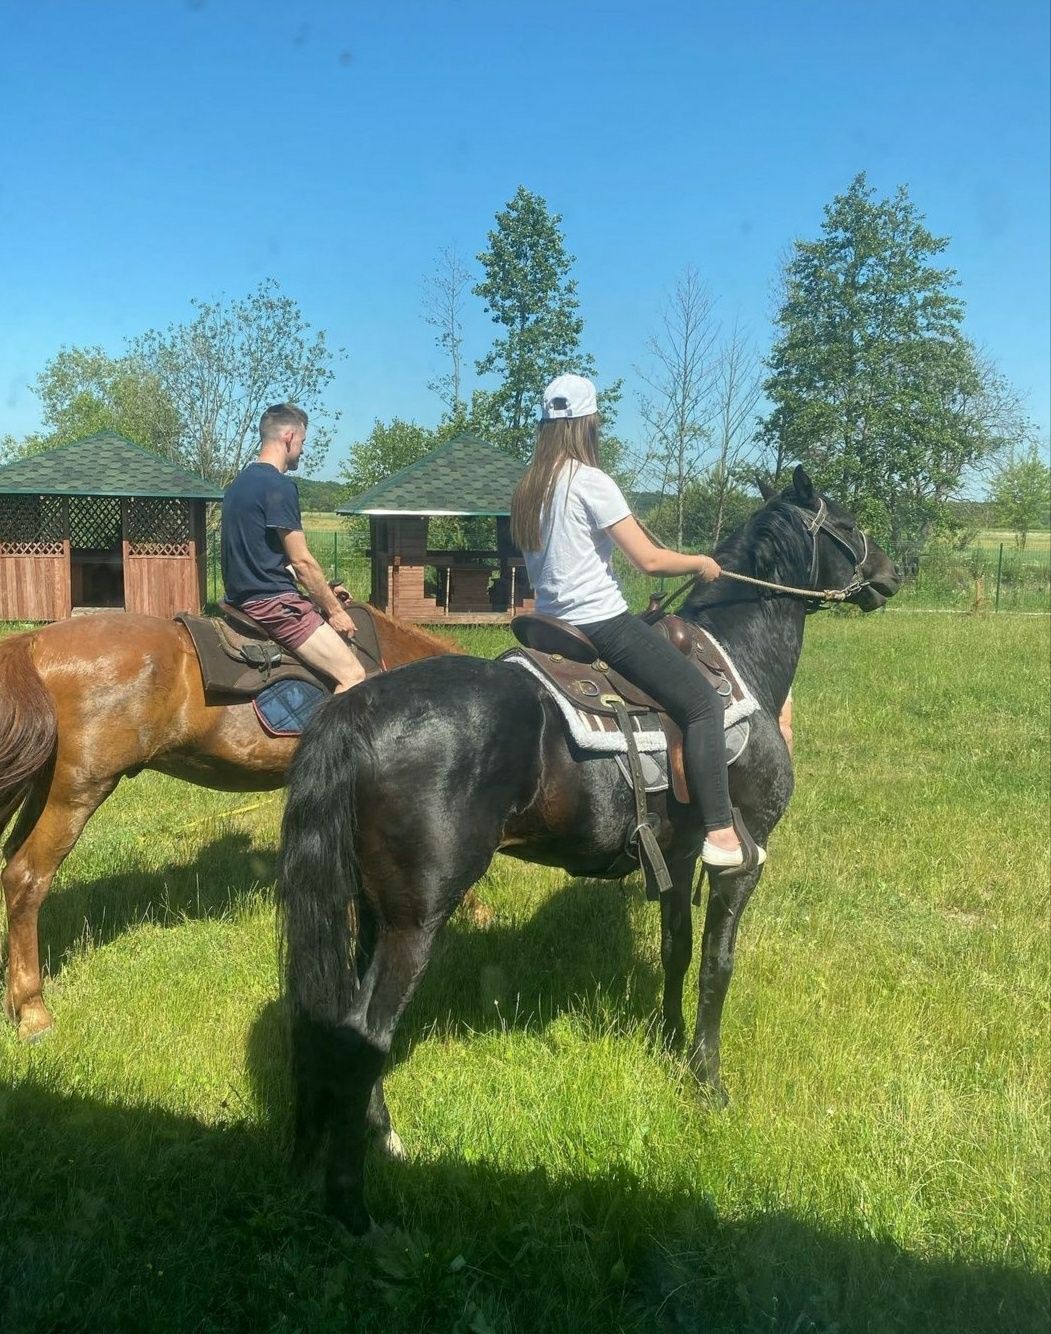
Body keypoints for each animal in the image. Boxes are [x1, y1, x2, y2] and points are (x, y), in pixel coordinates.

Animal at [274, 466, 901, 1227]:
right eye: (846, 524)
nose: (892, 572)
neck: (739, 665)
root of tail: (357, 707)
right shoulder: (740, 864)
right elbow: (717, 966)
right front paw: (708, 1082)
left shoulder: (680, 857)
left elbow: (675, 952)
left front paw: (667, 1042)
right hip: (415, 921)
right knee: (366, 1035)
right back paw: (353, 1201)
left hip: (370, 911)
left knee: (346, 1025)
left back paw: (382, 1138)